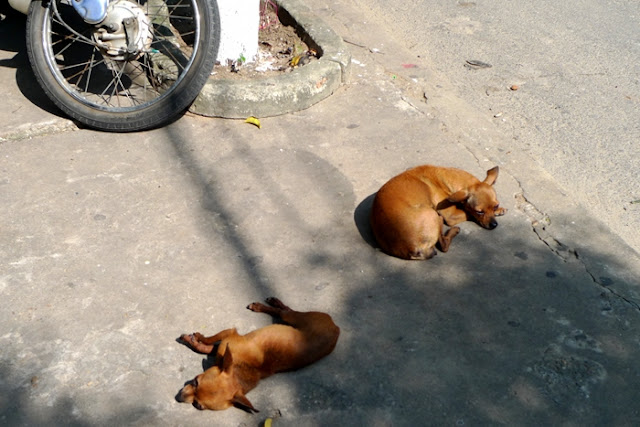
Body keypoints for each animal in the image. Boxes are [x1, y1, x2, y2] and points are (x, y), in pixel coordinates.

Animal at [176, 297, 340, 412]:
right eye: (195, 381)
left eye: (198, 405)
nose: (179, 397)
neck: (239, 370)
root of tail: (336, 328)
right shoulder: (227, 341)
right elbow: (209, 345)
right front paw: (197, 341)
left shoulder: (230, 334)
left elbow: (209, 342)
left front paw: (196, 340)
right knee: (286, 310)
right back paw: (274, 302)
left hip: (294, 317)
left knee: (283, 311)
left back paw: (263, 306)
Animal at [370, 165, 506, 260]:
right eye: (479, 212)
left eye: (496, 205)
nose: (494, 225)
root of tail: (412, 248)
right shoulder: (451, 215)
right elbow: (467, 212)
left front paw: (500, 210)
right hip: (431, 213)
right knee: (444, 244)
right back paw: (453, 231)